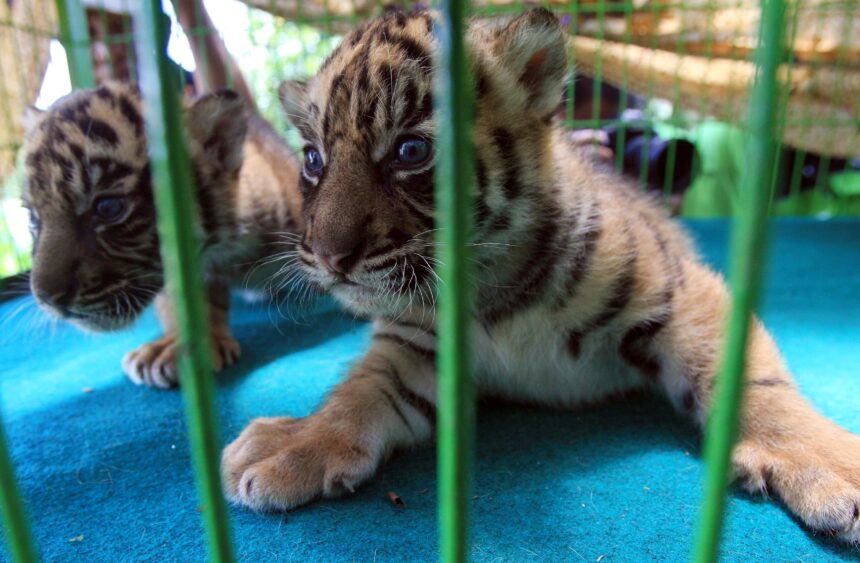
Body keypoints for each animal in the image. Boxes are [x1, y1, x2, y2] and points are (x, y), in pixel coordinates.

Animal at [221, 8, 860, 544]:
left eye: (410, 150)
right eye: (312, 159)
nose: (330, 258)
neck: (489, 290)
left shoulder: (686, 295)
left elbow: (751, 381)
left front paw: (832, 468)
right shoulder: (414, 345)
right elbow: (363, 390)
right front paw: (295, 443)